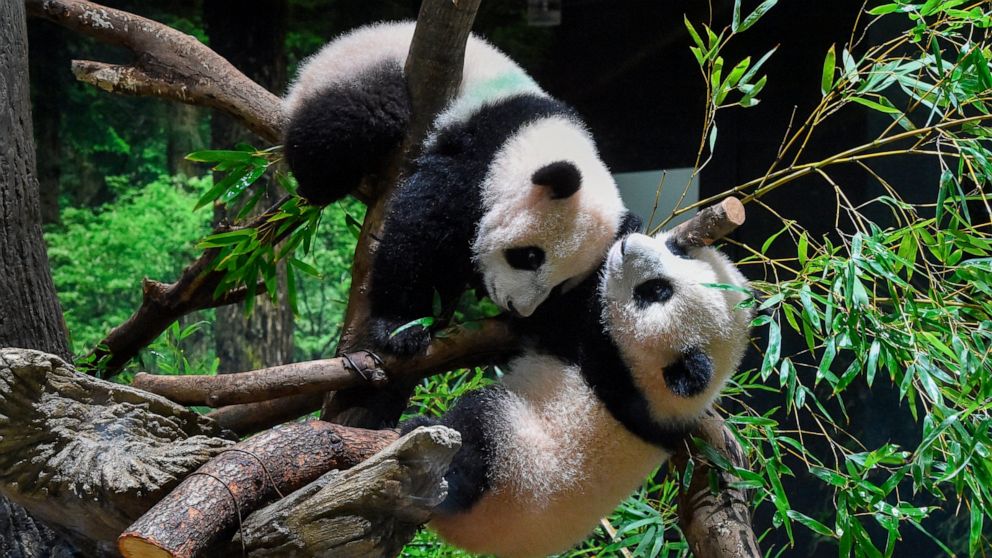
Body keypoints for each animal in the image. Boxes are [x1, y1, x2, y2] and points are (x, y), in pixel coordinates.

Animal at [284, 23, 628, 354]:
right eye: (530, 257)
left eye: (560, 286)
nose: (517, 308)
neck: (534, 136)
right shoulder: (479, 152)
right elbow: (421, 227)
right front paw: (401, 327)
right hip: (359, 71)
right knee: (357, 119)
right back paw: (321, 185)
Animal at [404, 230, 752, 556]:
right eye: (677, 251)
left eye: (655, 291)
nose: (628, 245)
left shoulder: (607, 361)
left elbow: (553, 317)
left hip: (513, 468)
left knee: (476, 434)